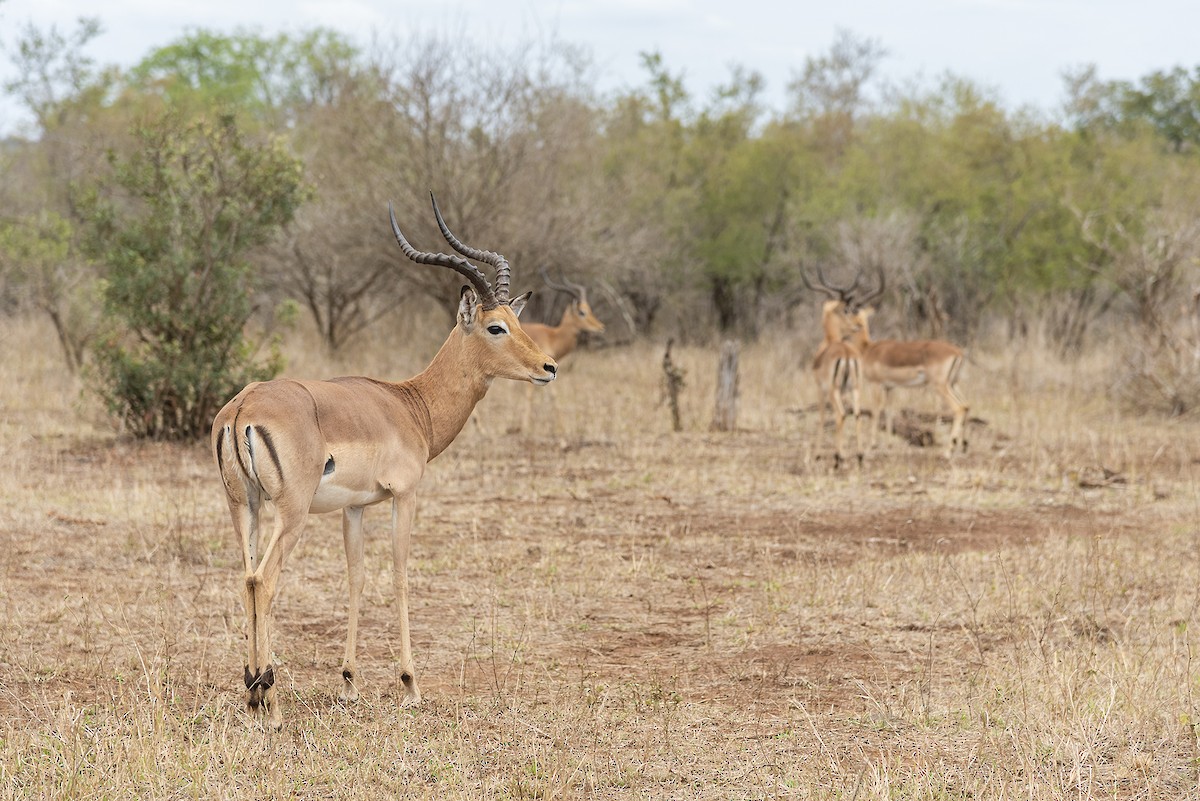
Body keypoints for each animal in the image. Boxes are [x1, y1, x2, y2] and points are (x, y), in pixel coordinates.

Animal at [211, 194, 557, 728]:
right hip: (290, 513)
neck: (411, 405)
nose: (549, 367)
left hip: (243, 507)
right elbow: (400, 574)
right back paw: (272, 705)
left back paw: (252, 690)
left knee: (245, 578)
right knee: (264, 582)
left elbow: (356, 578)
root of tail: (243, 406)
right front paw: (410, 684)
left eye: (518, 322)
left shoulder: (354, 507)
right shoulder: (405, 495)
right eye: (495, 327)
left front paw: (350, 682)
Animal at [800, 268, 864, 467]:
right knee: (857, 413)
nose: (857, 326)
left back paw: (839, 457)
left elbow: (821, 418)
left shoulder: (820, 389)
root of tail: (847, 354)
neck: (830, 341)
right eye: (847, 309)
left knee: (841, 414)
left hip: (833, 390)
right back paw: (860, 456)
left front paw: (817, 455)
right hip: (855, 388)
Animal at [846, 273, 969, 457]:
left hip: (940, 386)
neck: (868, 348)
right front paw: (888, 444)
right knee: (967, 406)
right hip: (954, 383)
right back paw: (962, 446)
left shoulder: (876, 384)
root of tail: (957, 352)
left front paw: (871, 445)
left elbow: (875, 410)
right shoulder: (890, 387)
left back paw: (948, 450)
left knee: (959, 408)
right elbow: (889, 411)